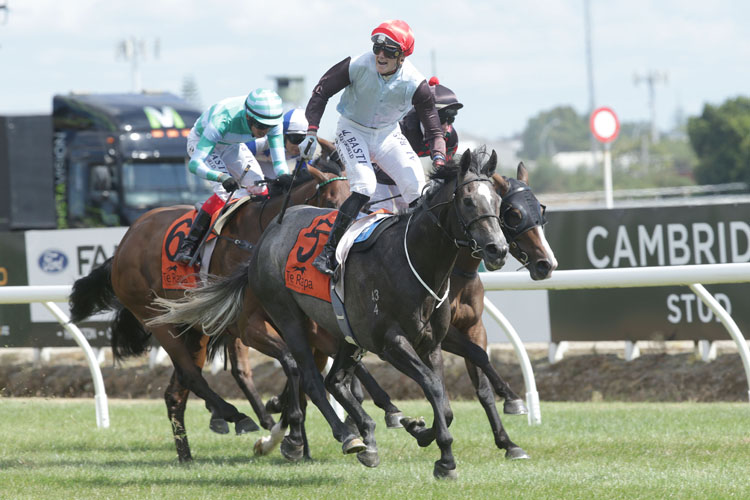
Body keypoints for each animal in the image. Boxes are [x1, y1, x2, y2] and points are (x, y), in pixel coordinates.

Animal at [150, 150, 508, 478]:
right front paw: (445, 458)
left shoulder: (430, 343)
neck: (413, 262)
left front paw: (424, 431)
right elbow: (433, 387)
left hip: (340, 332)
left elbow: (443, 402)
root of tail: (268, 235)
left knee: (334, 380)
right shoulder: (391, 343)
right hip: (290, 320)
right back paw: (347, 436)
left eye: (497, 201)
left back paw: (366, 432)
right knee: (311, 378)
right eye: (467, 201)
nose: (498, 249)